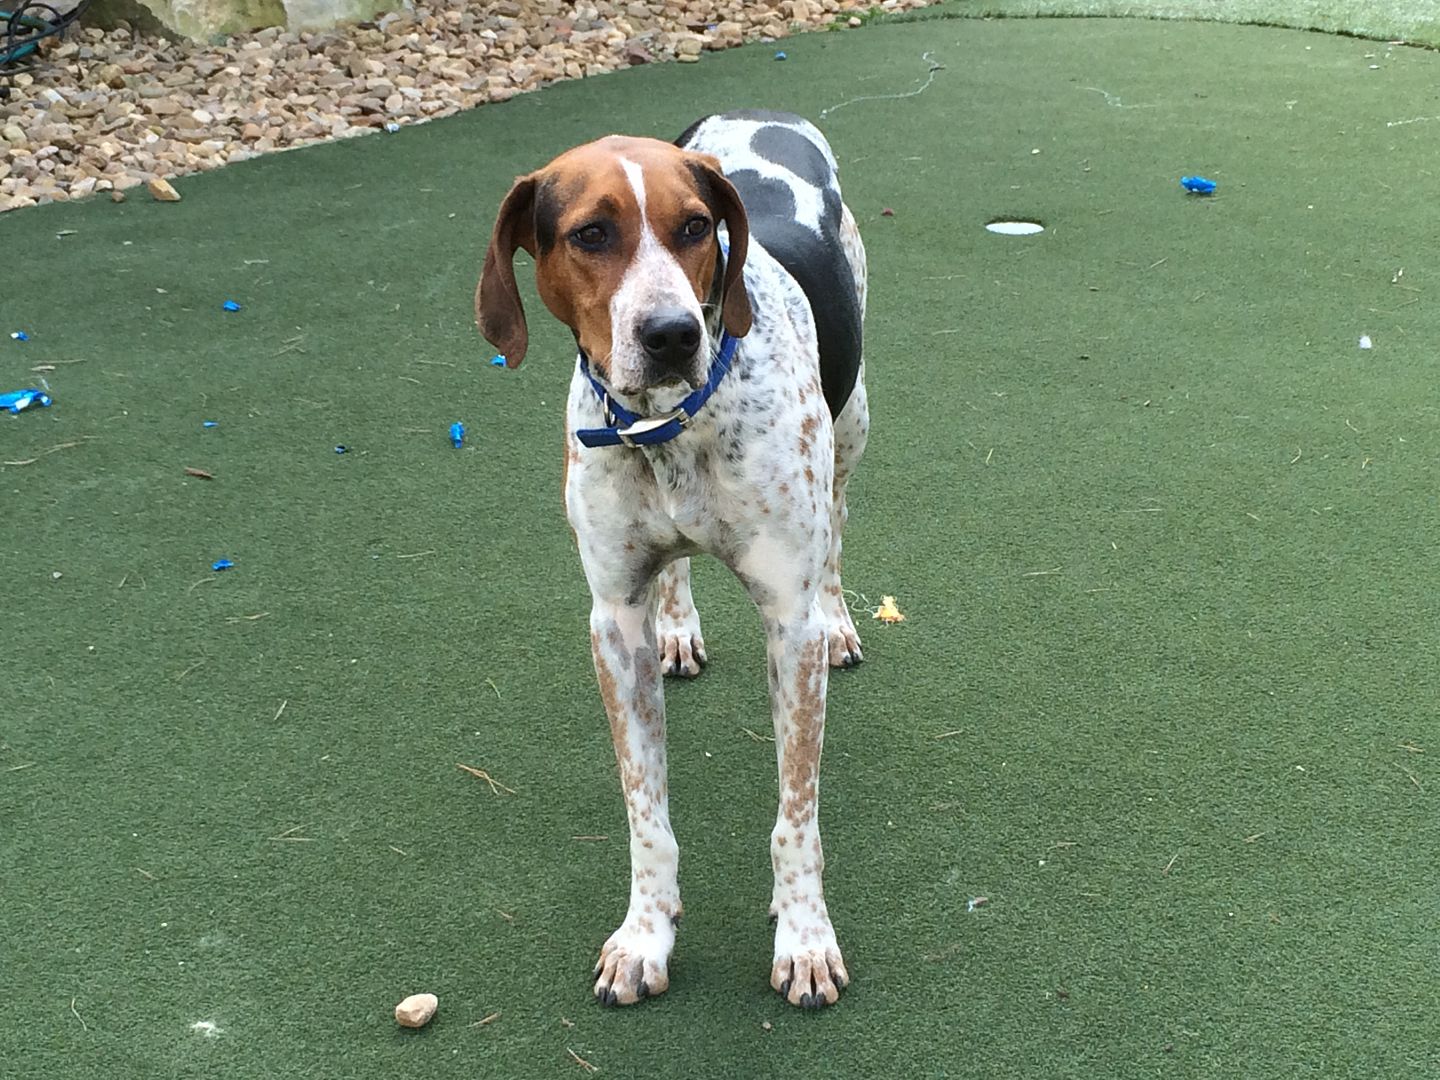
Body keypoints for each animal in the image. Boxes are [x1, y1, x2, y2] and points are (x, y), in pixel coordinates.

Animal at [478, 110, 869, 1008]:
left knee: (836, 523)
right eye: (590, 233)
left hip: (854, 423)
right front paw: (645, 934)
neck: (668, 429)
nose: (673, 334)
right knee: (679, 572)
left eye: (694, 227)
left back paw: (840, 617)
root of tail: (763, 113)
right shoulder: (613, 623)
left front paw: (804, 937)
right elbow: (644, 813)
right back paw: (681, 628)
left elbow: (796, 817)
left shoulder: (786, 625)